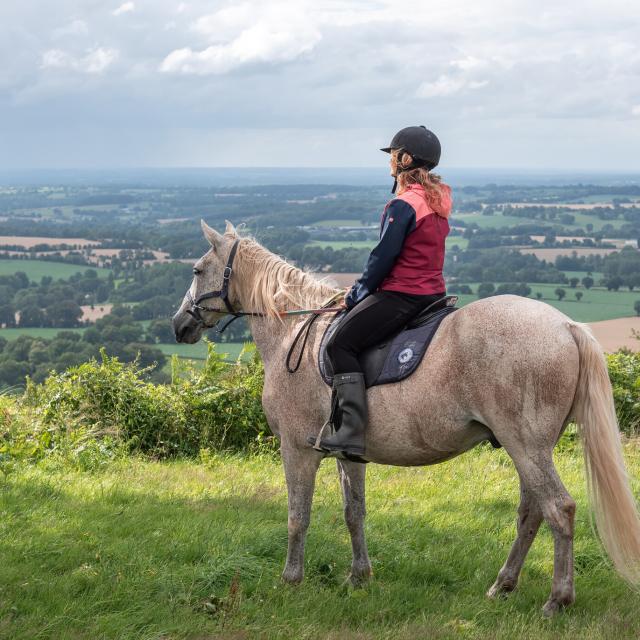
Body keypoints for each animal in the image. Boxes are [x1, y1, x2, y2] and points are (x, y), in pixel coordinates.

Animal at [171, 220, 640, 616]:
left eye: (197, 269)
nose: (178, 326)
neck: (292, 333)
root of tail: (566, 326)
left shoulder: (297, 450)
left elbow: (296, 516)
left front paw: (290, 580)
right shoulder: (347, 454)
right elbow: (353, 512)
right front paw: (359, 578)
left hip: (525, 443)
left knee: (558, 508)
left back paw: (557, 600)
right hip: (528, 446)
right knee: (532, 511)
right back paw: (502, 586)